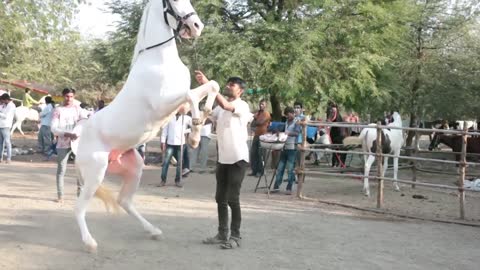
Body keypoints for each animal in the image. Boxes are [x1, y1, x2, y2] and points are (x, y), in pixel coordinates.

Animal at [72, 0, 219, 252]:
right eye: (174, 2)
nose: (197, 26)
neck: (158, 59)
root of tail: (78, 143)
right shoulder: (163, 105)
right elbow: (191, 95)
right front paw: (194, 134)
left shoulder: (178, 106)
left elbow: (212, 86)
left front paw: (202, 120)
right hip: (96, 172)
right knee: (80, 207)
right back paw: (90, 243)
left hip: (133, 167)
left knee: (123, 201)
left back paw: (154, 231)